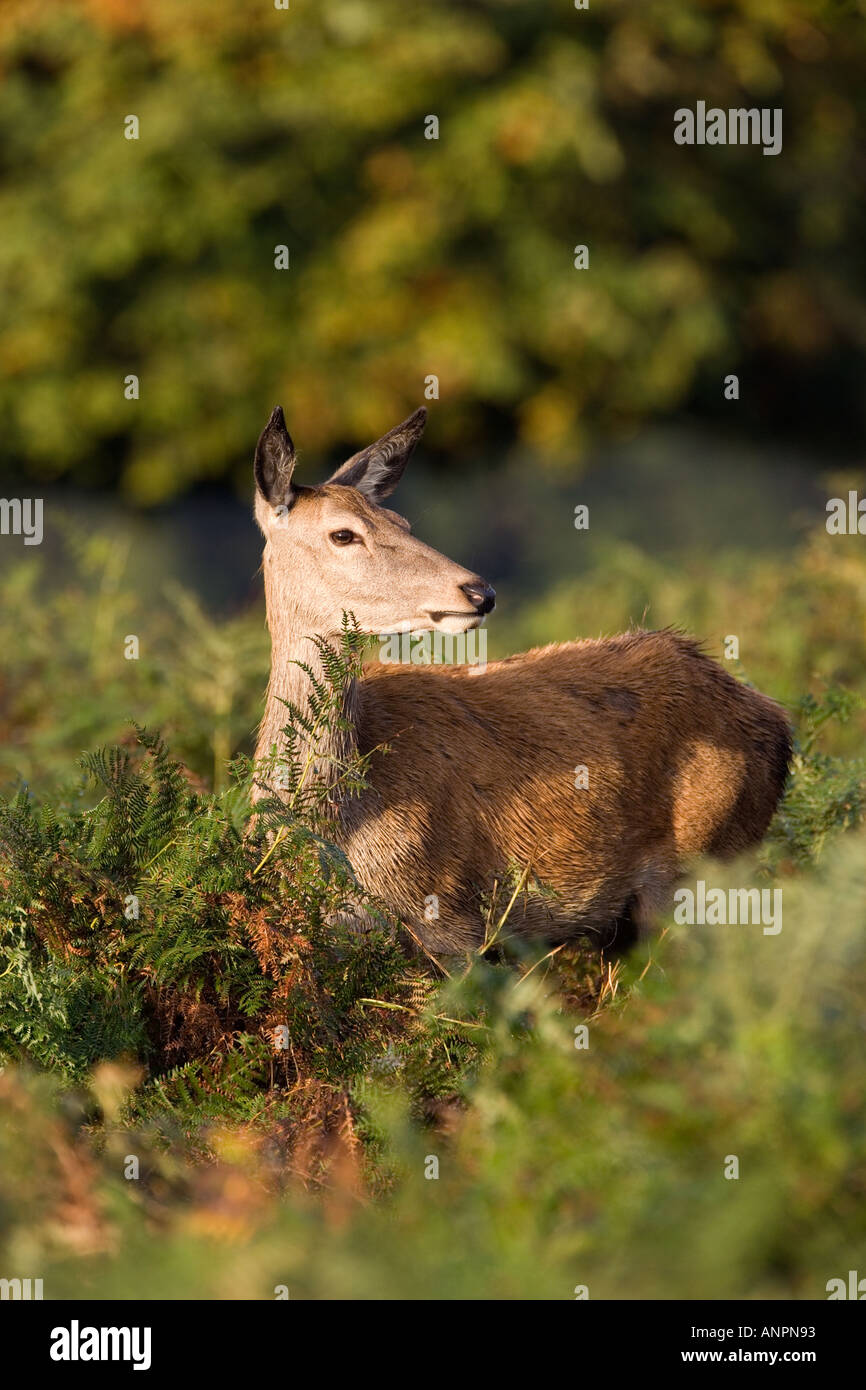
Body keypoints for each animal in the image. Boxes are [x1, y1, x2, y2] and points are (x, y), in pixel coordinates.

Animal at [252, 403, 795, 956]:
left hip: (705, 865)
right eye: (343, 534)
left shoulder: (451, 915)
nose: (480, 591)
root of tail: (778, 722)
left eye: (401, 521)